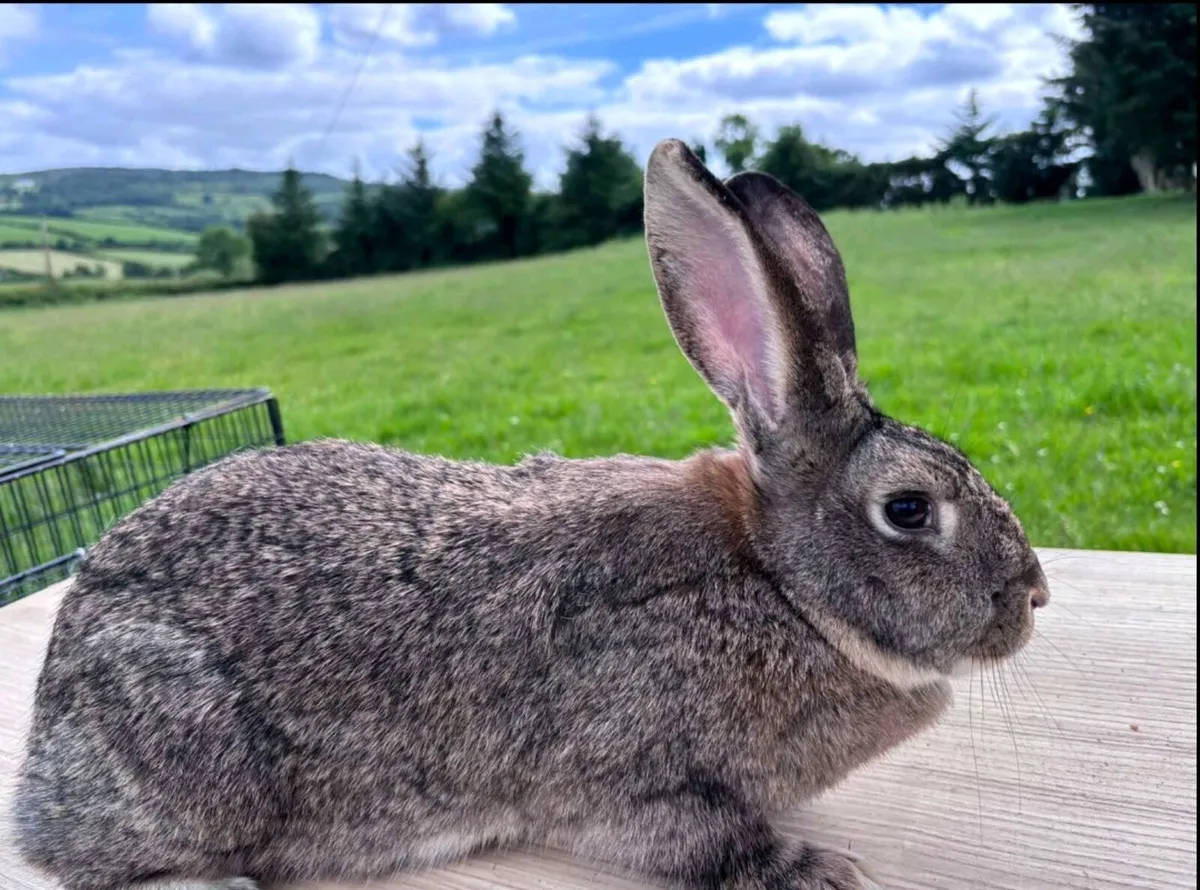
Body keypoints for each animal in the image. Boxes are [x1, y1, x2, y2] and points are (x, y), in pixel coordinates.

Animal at [11, 138, 1049, 890]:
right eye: (909, 509)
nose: (1035, 597)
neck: (781, 585)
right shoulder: (632, 778)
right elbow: (704, 843)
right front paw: (820, 871)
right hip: (187, 754)